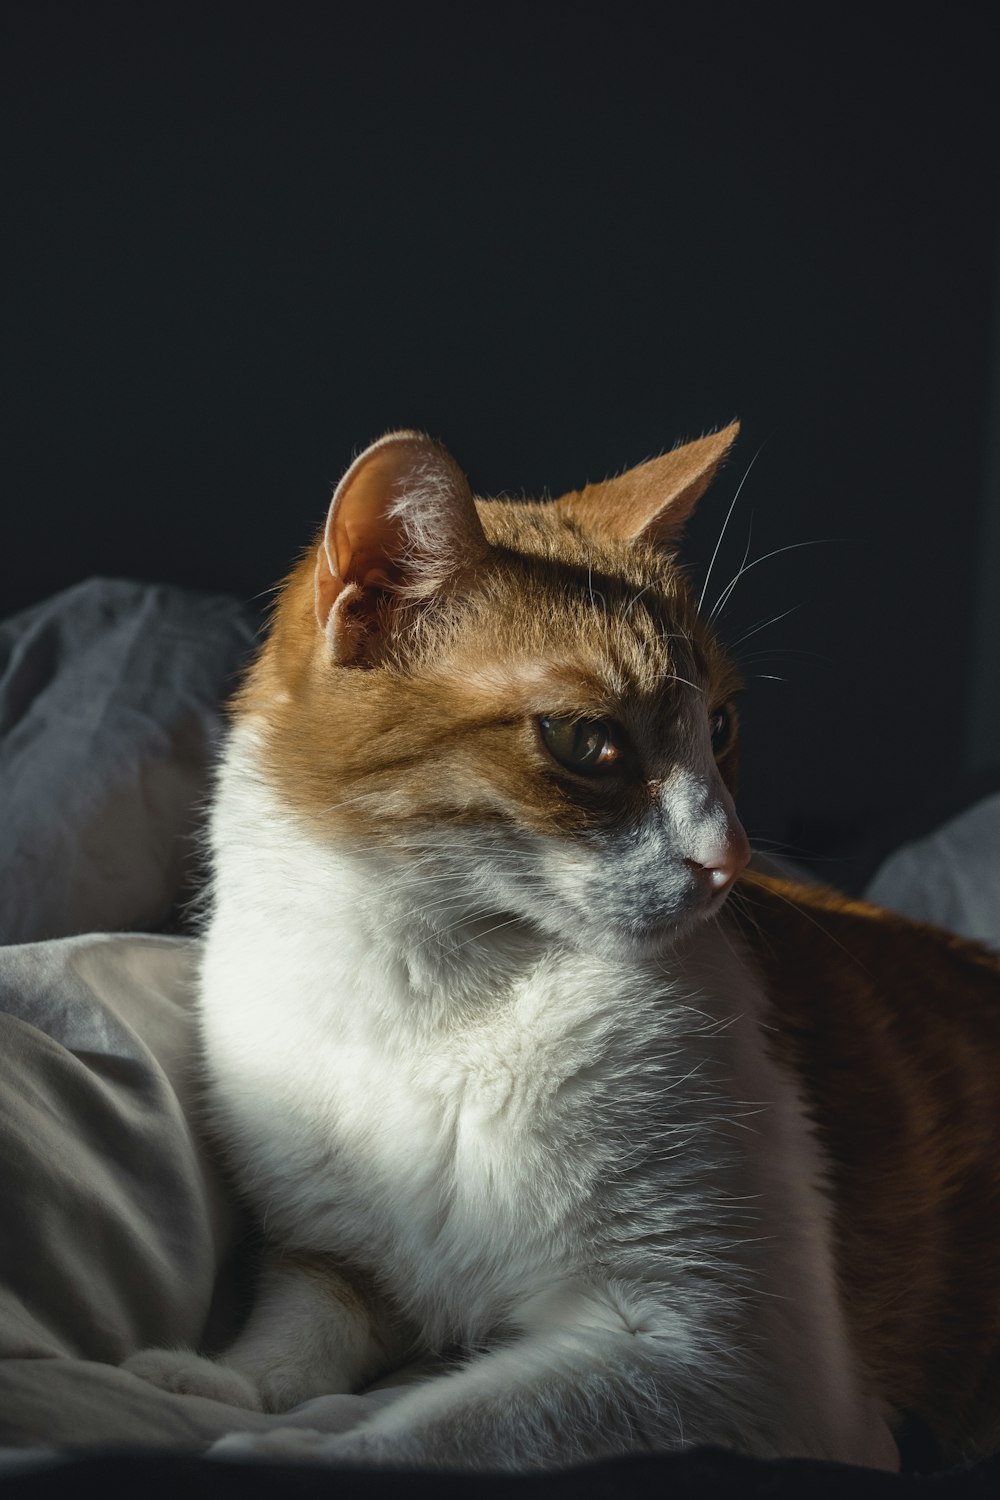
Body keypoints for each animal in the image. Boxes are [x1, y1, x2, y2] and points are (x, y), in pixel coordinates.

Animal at [125, 426, 1000, 1476]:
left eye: (720, 726)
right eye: (587, 741)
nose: (732, 858)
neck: (422, 1003)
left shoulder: (717, 1358)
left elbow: (436, 1424)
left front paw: (296, 1452)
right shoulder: (335, 1262)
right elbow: (292, 1345)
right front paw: (215, 1388)